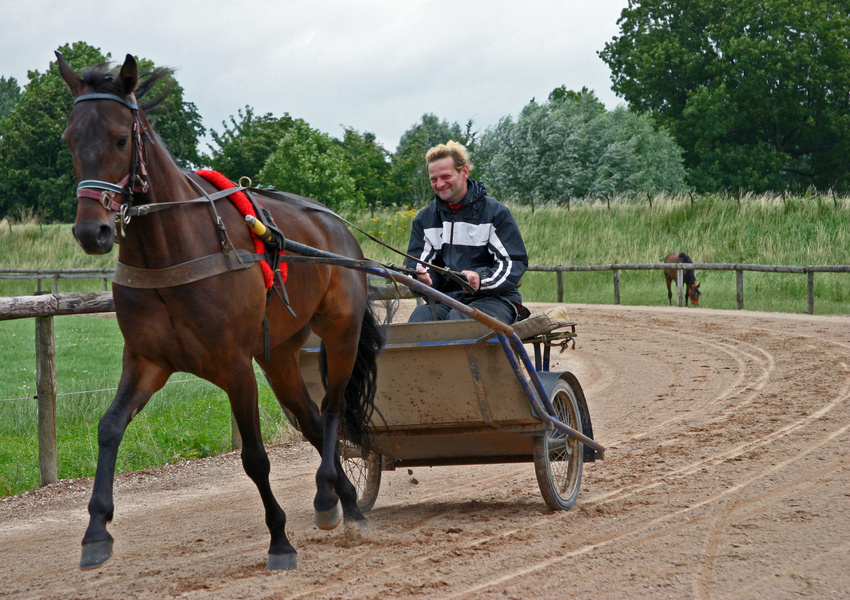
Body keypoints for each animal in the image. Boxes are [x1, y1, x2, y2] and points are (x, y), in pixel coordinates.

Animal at [55, 52, 380, 572]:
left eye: (121, 138)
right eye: (69, 140)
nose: (93, 232)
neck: (171, 252)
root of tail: (336, 226)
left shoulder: (234, 364)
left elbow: (255, 457)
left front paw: (279, 541)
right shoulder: (147, 360)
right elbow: (109, 428)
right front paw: (96, 531)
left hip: (341, 332)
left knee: (330, 411)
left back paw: (328, 496)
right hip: (279, 354)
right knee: (310, 418)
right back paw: (346, 502)